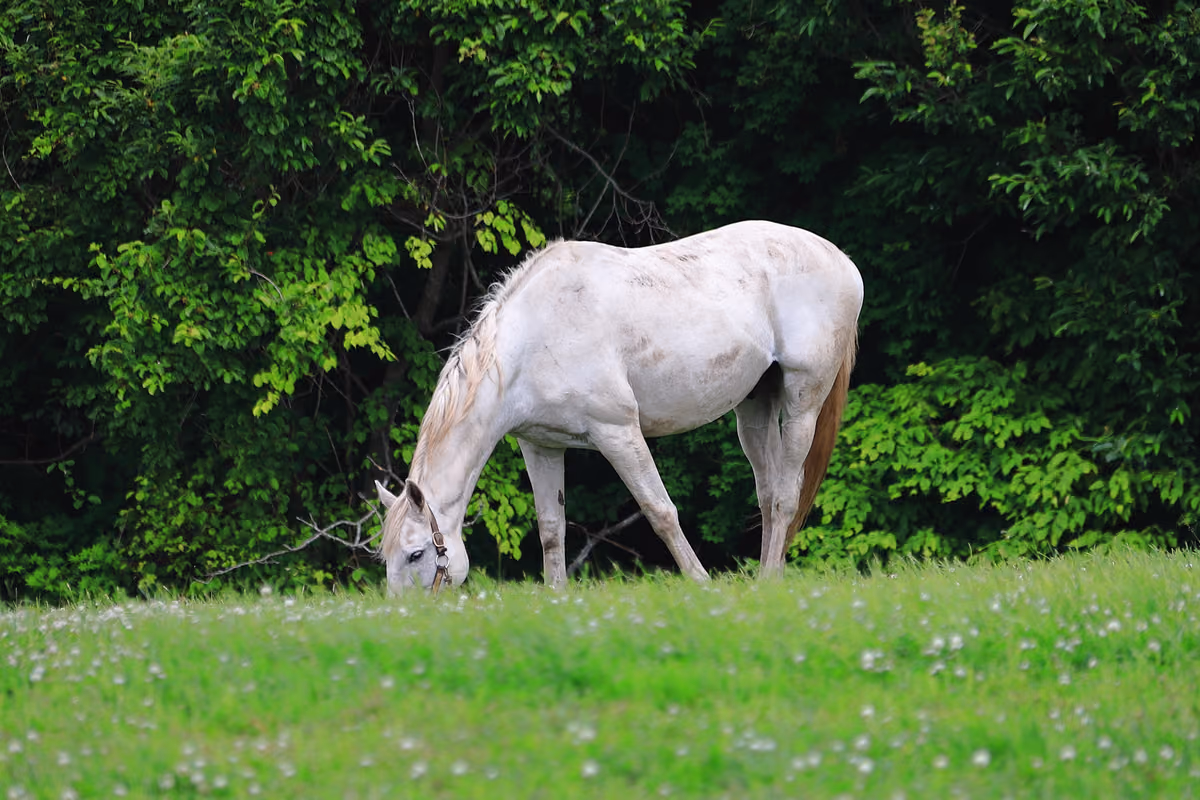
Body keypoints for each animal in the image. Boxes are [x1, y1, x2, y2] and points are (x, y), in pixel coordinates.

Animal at [375, 220, 864, 591]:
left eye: (416, 553)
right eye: (387, 556)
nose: (406, 617)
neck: (531, 339)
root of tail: (841, 260)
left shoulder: (618, 433)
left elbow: (661, 512)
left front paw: (701, 583)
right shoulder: (540, 446)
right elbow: (550, 529)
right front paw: (556, 597)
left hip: (803, 403)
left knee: (785, 495)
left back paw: (768, 580)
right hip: (754, 410)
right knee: (767, 494)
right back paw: (768, 579)